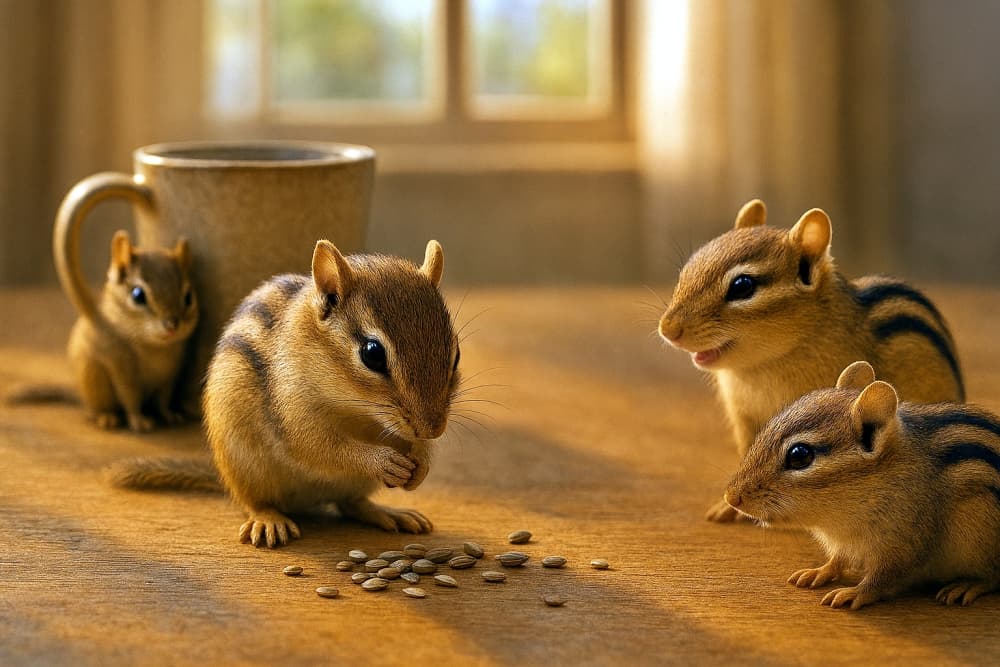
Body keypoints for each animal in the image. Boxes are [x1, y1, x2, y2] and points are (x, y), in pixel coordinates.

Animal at [49, 226, 198, 432]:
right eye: (137, 295)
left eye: (188, 297)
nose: (172, 325)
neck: (155, 347)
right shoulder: (123, 373)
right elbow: (130, 400)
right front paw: (139, 421)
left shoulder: (168, 376)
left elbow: (163, 400)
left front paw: (170, 414)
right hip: (95, 384)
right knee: (93, 410)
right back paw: (106, 417)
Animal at [111, 239, 459, 548]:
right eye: (372, 353)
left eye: (455, 355)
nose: (433, 429)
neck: (357, 409)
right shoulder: (291, 407)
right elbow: (319, 446)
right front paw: (382, 460)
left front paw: (422, 463)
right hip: (244, 467)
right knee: (255, 502)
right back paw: (269, 520)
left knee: (352, 504)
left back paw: (389, 513)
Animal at [658, 199, 964, 522]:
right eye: (689, 267)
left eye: (742, 285)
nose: (667, 329)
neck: (761, 368)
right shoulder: (746, 420)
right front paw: (727, 507)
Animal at [725, 361, 1000, 610]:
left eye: (799, 455)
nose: (731, 497)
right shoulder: (844, 543)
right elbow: (837, 560)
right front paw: (818, 571)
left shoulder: (905, 545)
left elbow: (882, 579)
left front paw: (854, 592)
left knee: (992, 577)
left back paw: (966, 585)